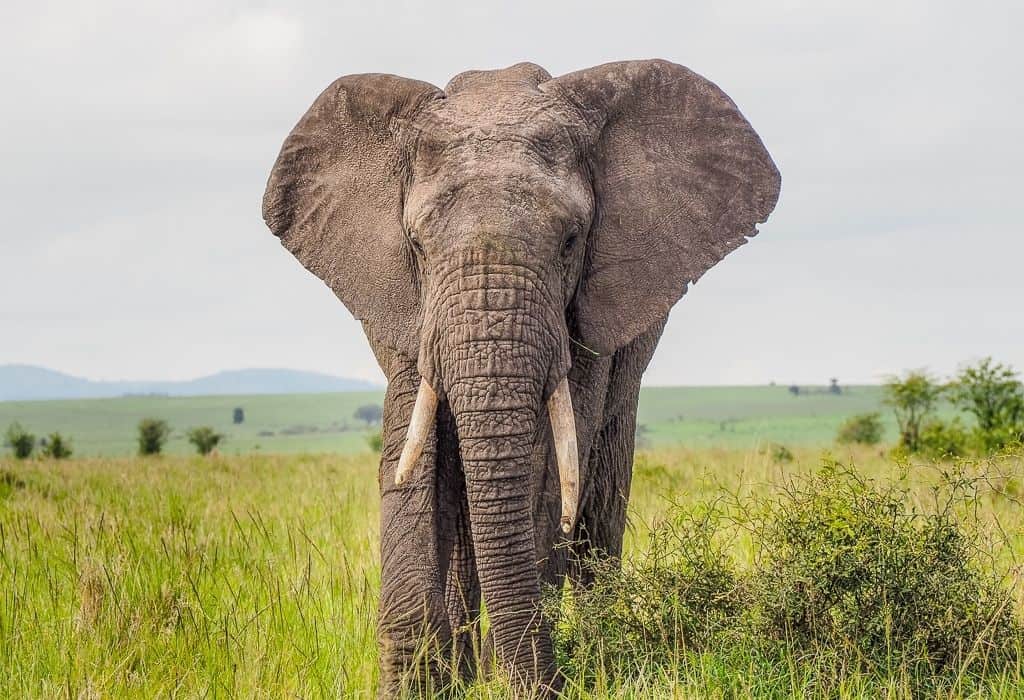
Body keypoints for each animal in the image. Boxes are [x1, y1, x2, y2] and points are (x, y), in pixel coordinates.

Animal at [260, 58, 778, 695]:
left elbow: (552, 467)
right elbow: (411, 459)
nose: (540, 682)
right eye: (416, 245)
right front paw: (418, 683)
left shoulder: (585, 319)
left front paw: (517, 677)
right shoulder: (407, 312)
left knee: (600, 497)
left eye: (571, 241)